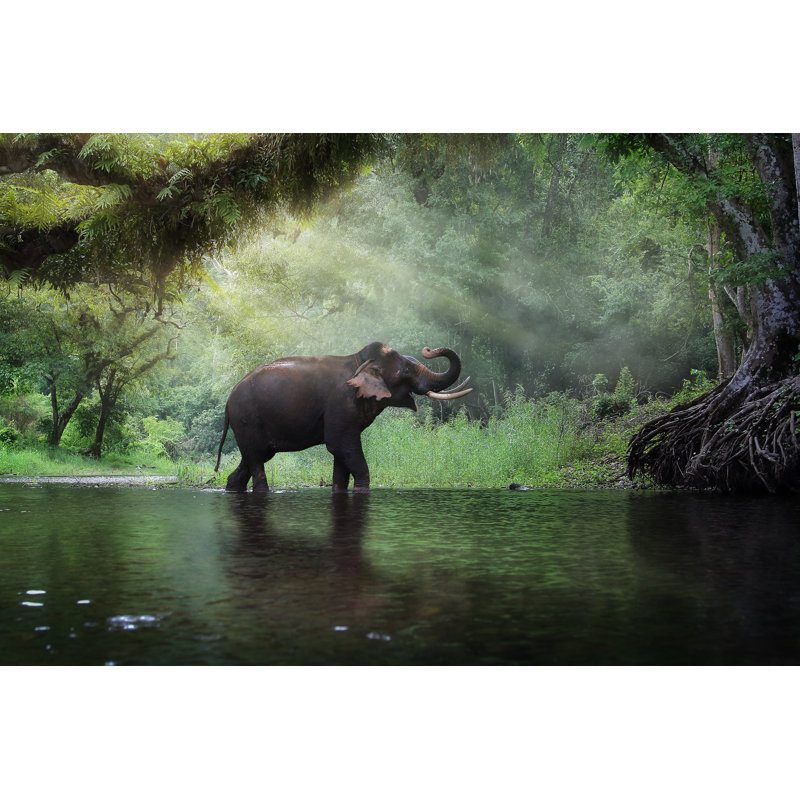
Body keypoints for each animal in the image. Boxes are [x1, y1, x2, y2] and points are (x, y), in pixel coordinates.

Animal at [215, 341, 472, 493]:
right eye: (406, 371)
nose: (428, 350)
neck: (359, 362)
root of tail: (228, 401)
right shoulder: (340, 403)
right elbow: (341, 445)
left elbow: (341, 454)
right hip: (247, 419)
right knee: (256, 460)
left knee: (252, 458)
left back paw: (231, 487)